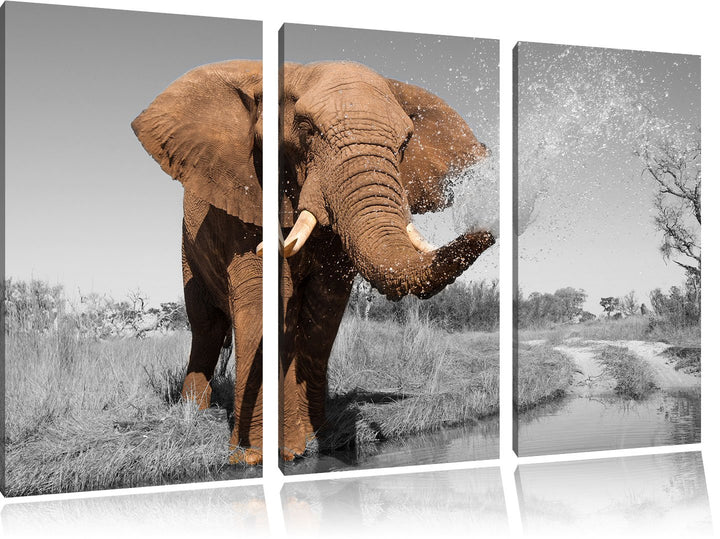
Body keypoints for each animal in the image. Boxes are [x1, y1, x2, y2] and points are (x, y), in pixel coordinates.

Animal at [131, 59, 495, 466]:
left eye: (404, 144)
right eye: (306, 131)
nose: (492, 223)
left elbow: (325, 307)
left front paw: (317, 440)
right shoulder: (245, 190)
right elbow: (263, 299)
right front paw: (255, 457)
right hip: (187, 247)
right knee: (205, 325)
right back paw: (193, 412)